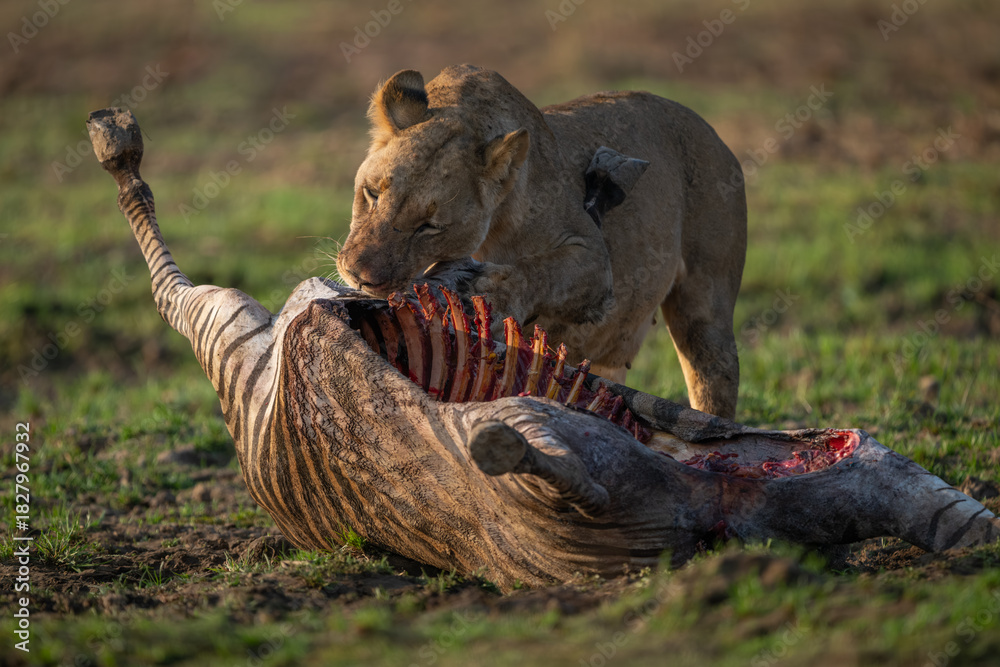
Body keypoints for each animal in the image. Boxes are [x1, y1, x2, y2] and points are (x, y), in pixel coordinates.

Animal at [336, 65, 747, 419]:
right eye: (372, 194)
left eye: (429, 226)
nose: (358, 276)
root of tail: (712, 131)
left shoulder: (596, 260)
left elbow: (543, 270)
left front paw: (489, 293)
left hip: (706, 315)